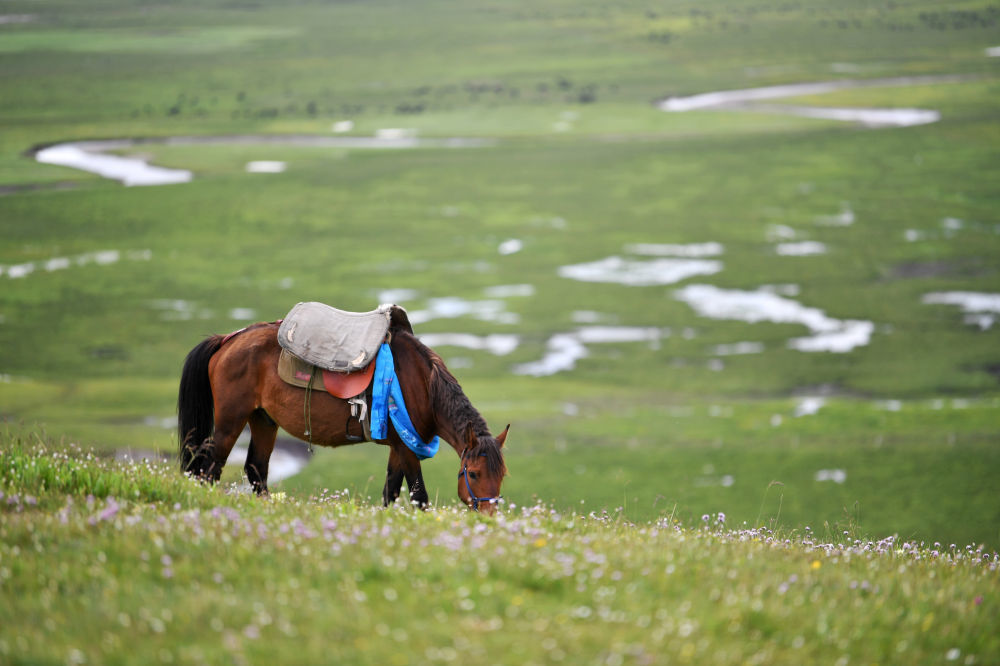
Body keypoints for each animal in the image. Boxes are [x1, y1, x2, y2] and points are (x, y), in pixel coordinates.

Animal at [174, 320, 508, 510]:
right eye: (473, 473)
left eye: (502, 474)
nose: (488, 516)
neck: (422, 385)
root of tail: (227, 340)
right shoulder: (406, 448)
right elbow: (419, 497)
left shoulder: (397, 449)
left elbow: (390, 494)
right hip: (230, 421)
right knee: (209, 470)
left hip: (263, 420)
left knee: (257, 470)